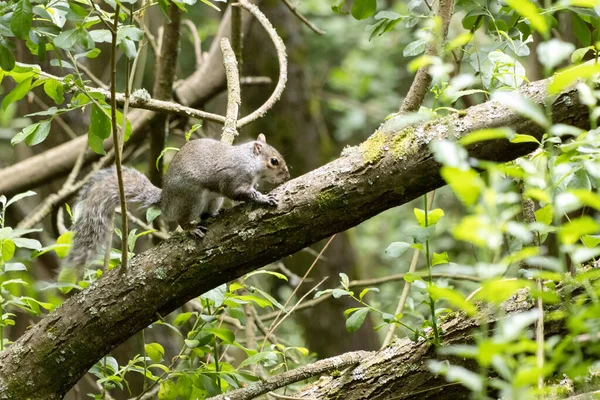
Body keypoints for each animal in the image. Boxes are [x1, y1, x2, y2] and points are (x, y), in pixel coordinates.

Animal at [59, 134, 290, 284]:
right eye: (274, 161)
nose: (287, 176)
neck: (249, 161)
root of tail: (166, 200)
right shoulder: (234, 179)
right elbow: (240, 192)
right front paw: (263, 198)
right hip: (192, 198)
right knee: (182, 220)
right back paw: (191, 228)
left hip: (211, 200)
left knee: (206, 213)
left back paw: (215, 214)